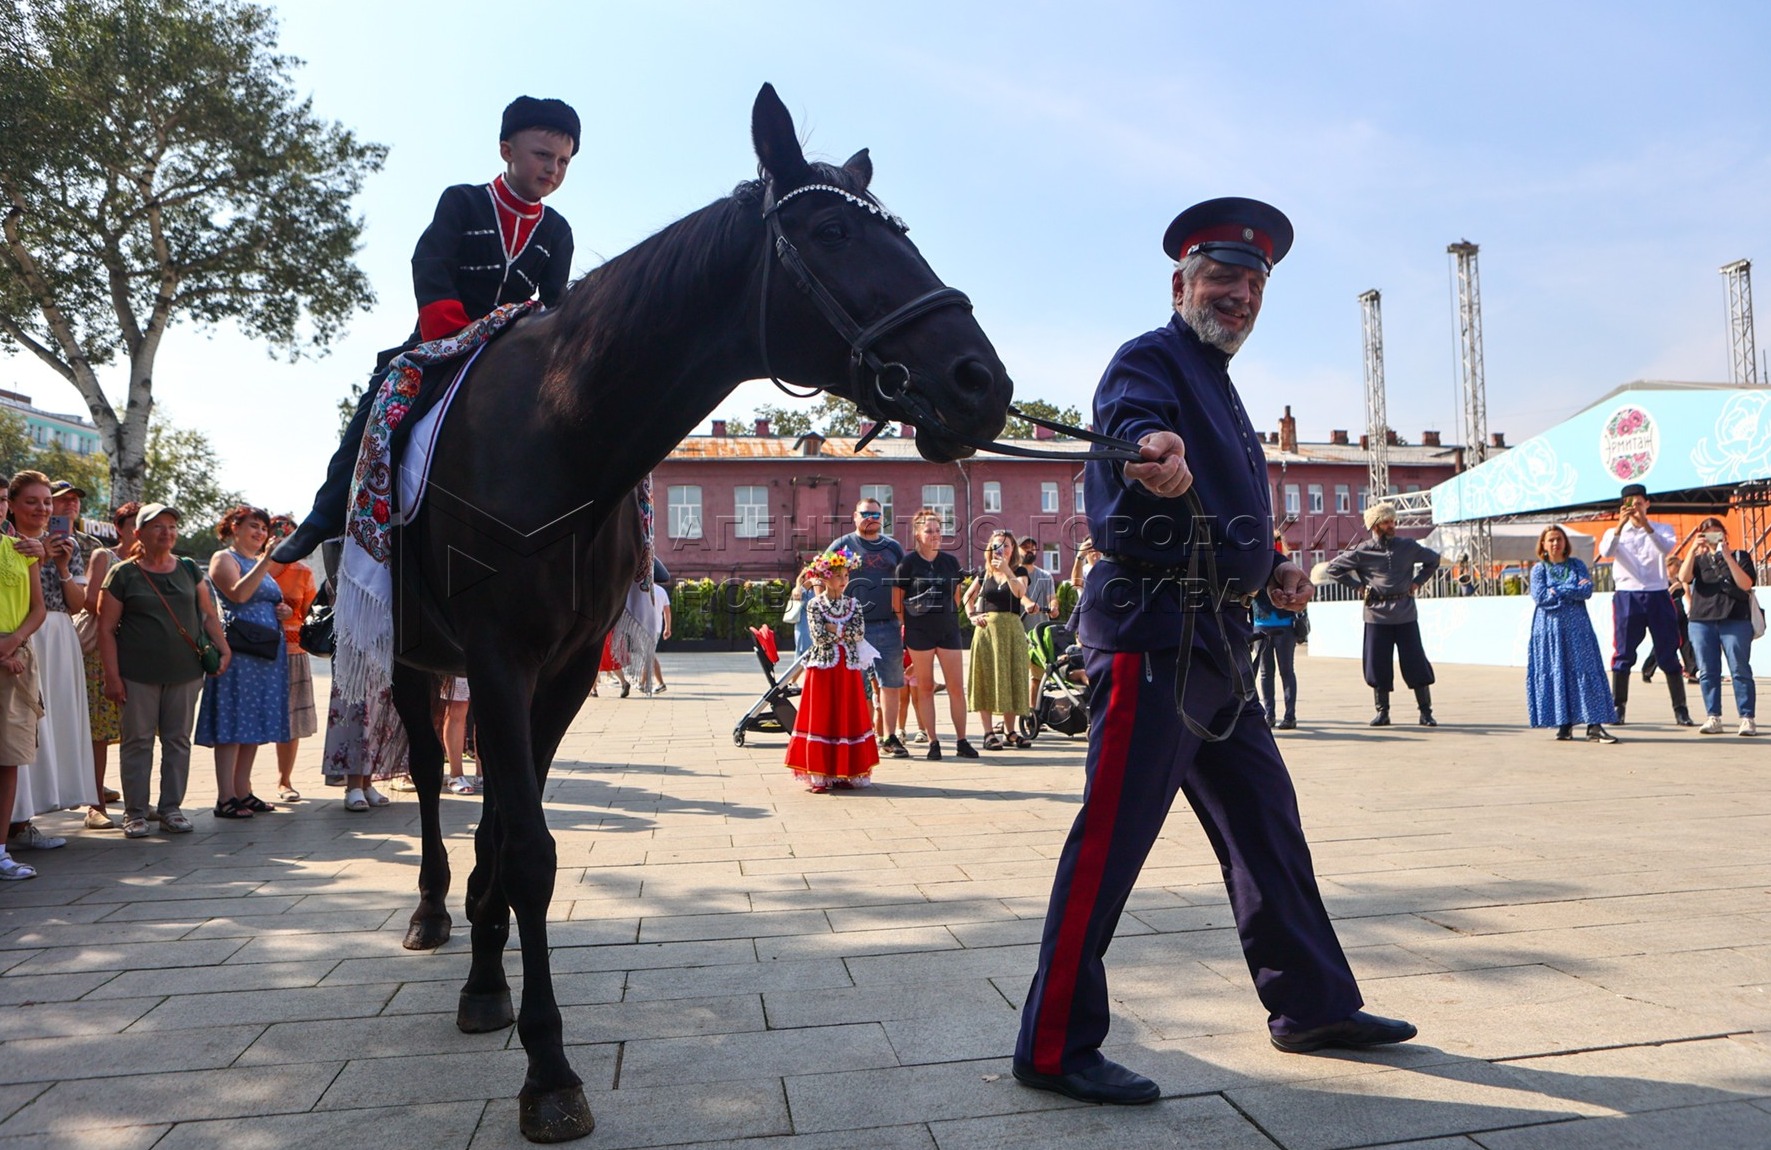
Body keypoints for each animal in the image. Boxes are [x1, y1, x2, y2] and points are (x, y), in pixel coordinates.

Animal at [391, 85, 1013, 1141]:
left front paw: (493, 987)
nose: (984, 383)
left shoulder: (561, 671)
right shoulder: (500, 659)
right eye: (833, 230)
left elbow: (514, 840)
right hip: (404, 655)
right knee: (432, 776)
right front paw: (548, 1069)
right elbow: (526, 850)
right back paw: (431, 911)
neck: (560, 434)